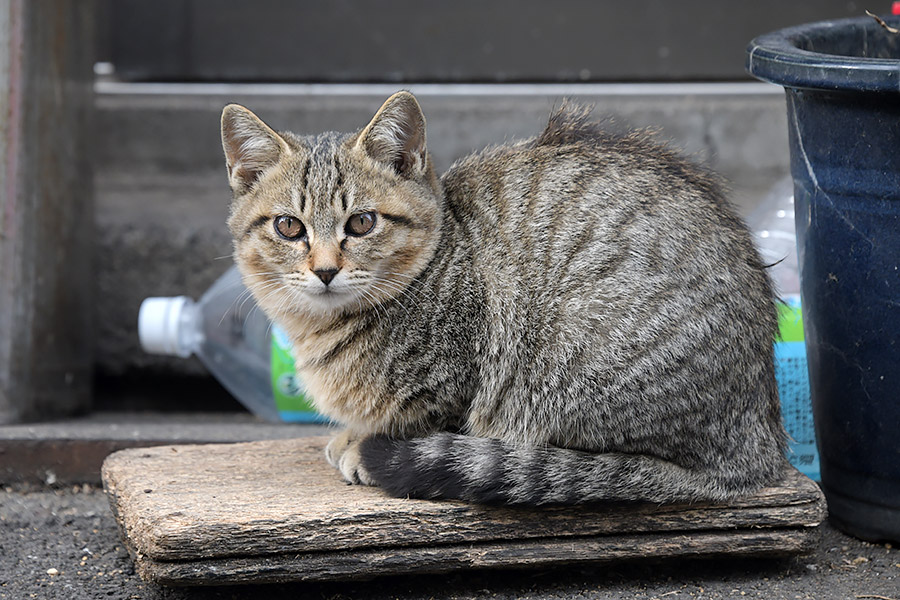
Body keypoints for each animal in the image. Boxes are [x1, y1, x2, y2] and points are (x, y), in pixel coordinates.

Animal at [221, 92, 784, 506]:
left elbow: (426, 417)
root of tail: (761, 443)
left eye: (361, 222)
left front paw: (361, 444)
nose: (325, 270)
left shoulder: (453, 381)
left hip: (569, 369)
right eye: (288, 226)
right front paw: (350, 434)